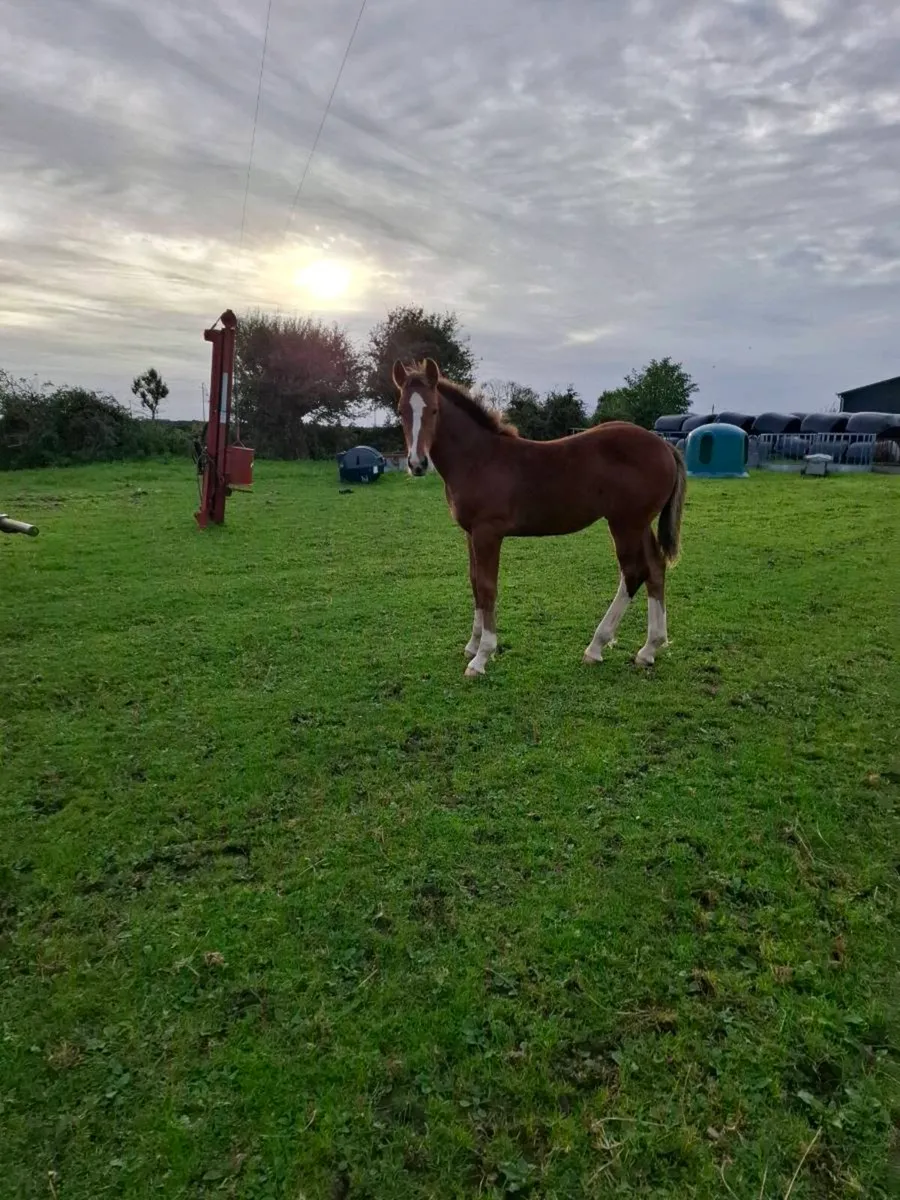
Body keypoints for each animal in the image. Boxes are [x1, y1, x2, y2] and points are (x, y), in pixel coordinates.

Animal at [392, 358, 687, 678]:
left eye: (433, 409)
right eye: (401, 411)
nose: (417, 464)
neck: (479, 459)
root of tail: (664, 445)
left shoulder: (488, 532)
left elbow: (487, 586)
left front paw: (482, 656)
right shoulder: (470, 533)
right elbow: (474, 582)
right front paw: (472, 644)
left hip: (625, 524)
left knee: (634, 572)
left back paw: (596, 646)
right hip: (639, 523)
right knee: (655, 569)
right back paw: (649, 649)